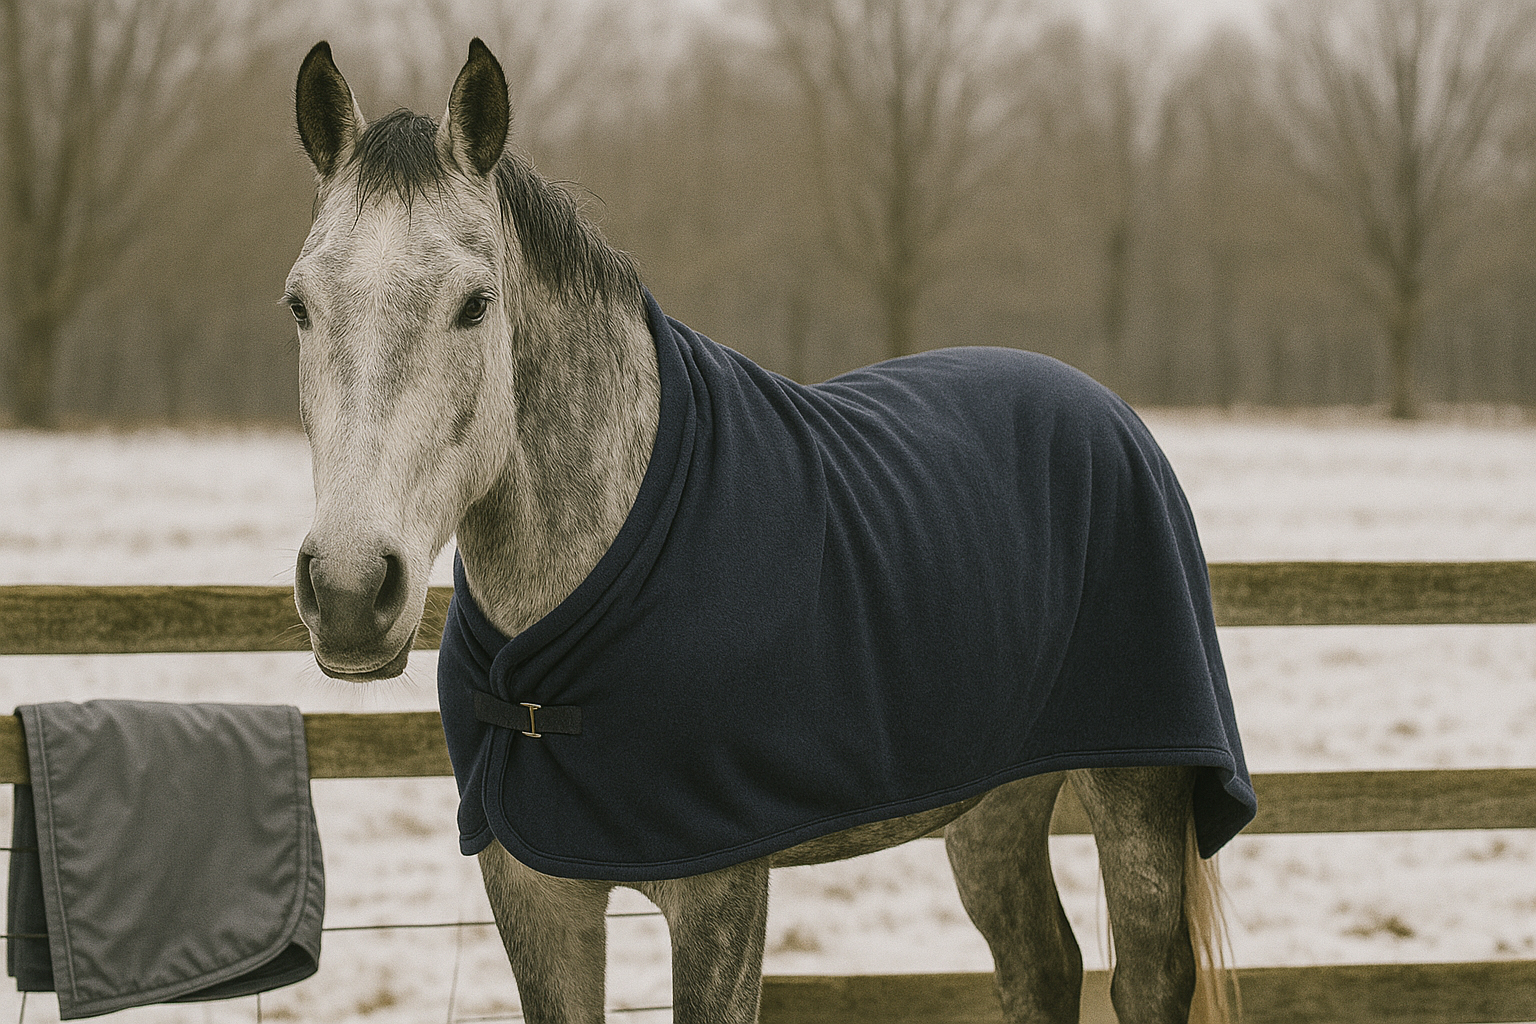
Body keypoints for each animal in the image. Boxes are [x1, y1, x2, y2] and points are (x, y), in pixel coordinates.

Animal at [285, 38, 1252, 1024]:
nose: (351, 590)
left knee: (1146, 979)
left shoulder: (721, 894)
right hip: (997, 806)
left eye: (475, 304)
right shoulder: (534, 896)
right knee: (1041, 967)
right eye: (300, 306)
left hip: (1137, 794)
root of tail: (1110, 411)